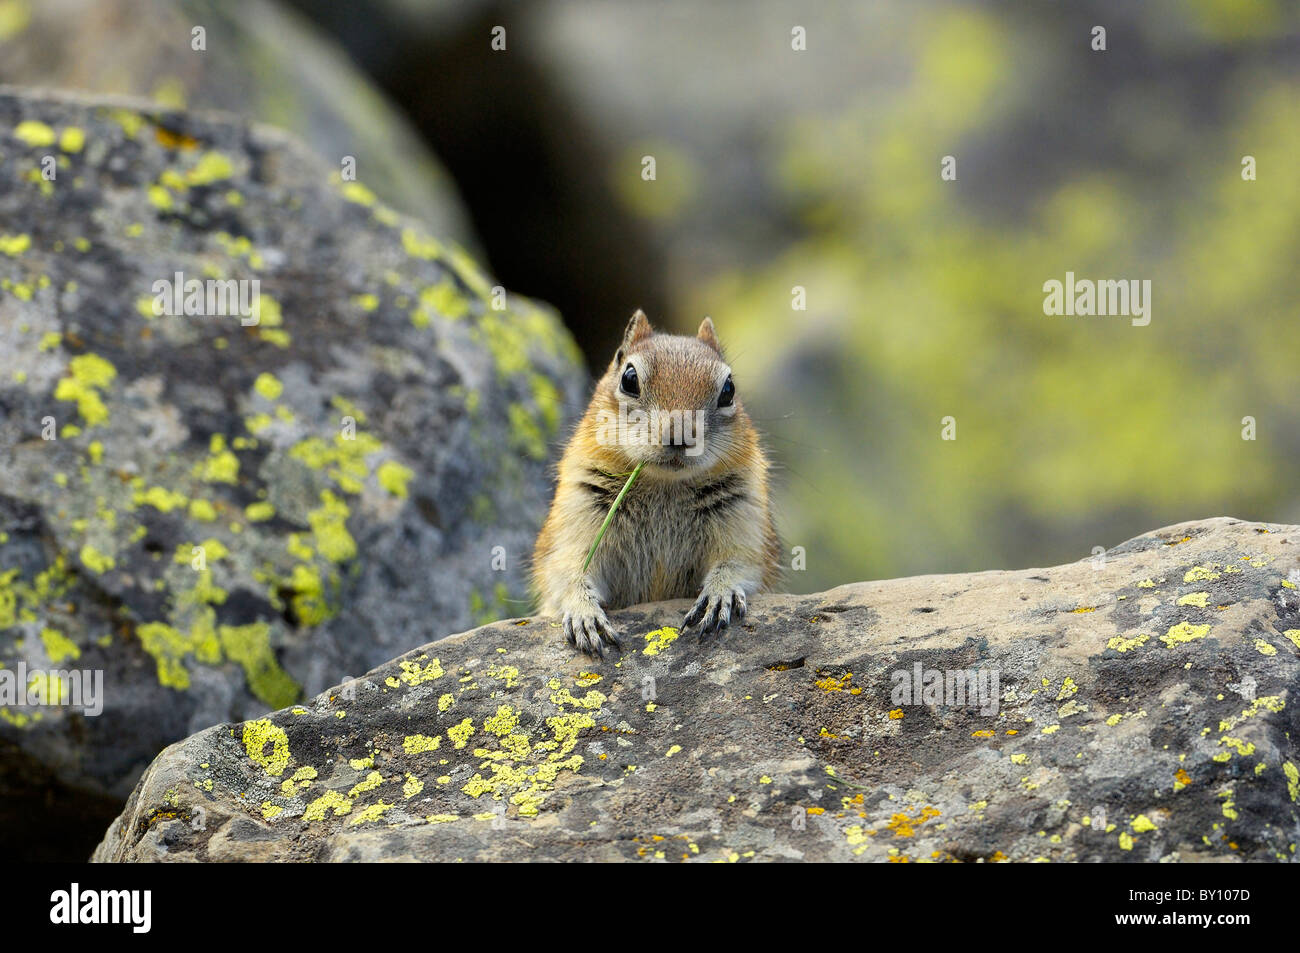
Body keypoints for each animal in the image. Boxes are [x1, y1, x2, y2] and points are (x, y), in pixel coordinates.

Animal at [530, 308, 774, 650]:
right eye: (628, 379)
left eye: (729, 390)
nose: (680, 435)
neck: (664, 485)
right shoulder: (578, 514)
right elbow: (568, 571)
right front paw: (585, 615)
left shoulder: (743, 517)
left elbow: (739, 563)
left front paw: (719, 594)